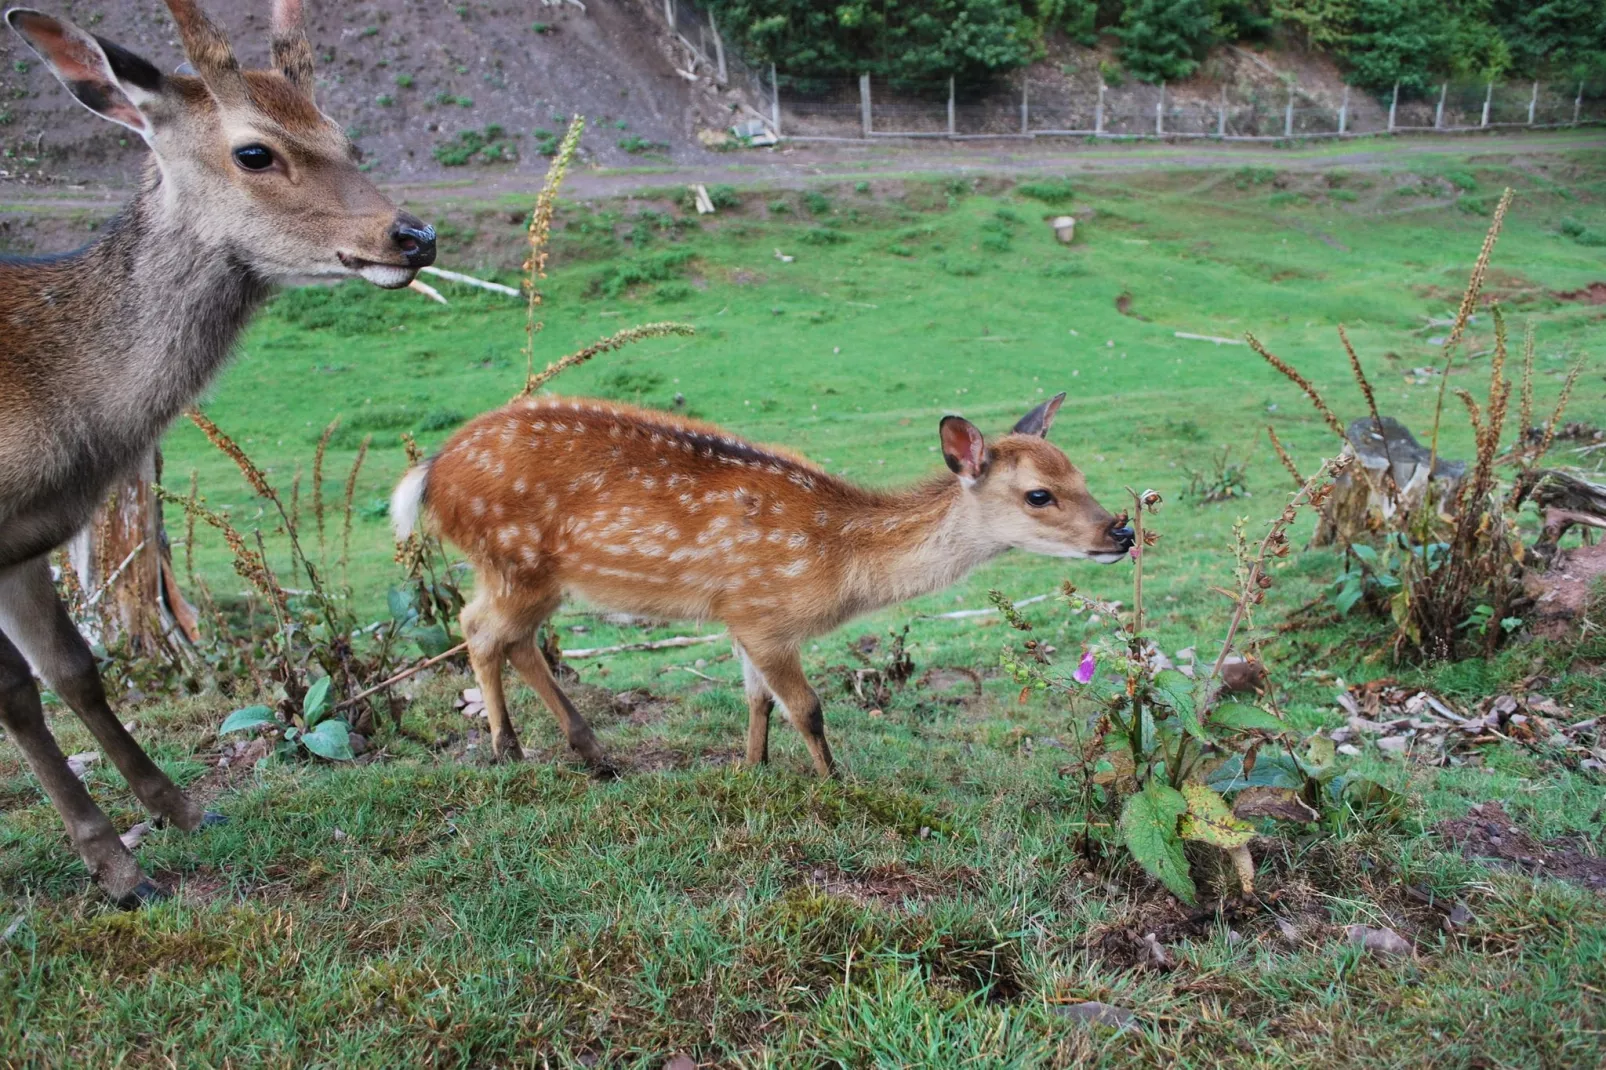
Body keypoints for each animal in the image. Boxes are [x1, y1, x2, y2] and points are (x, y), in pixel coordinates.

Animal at [0, 0, 436, 906]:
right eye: (255, 150)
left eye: (344, 137)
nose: (414, 236)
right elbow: (16, 694)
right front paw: (120, 872)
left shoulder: (22, 544)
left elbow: (71, 669)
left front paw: (182, 811)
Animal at [393, 392, 1137, 774]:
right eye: (1039, 495)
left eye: (1080, 474)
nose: (1121, 533)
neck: (839, 565)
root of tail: (431, 475)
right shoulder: (765, 612)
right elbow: (805, 707)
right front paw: (836, 782)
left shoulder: (742, 616)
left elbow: (757, 702)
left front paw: (752, 768)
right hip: (513, 559)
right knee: (478, 628)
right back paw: (507, 747)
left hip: (533, 574)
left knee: (510, 638)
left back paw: (592, 749)